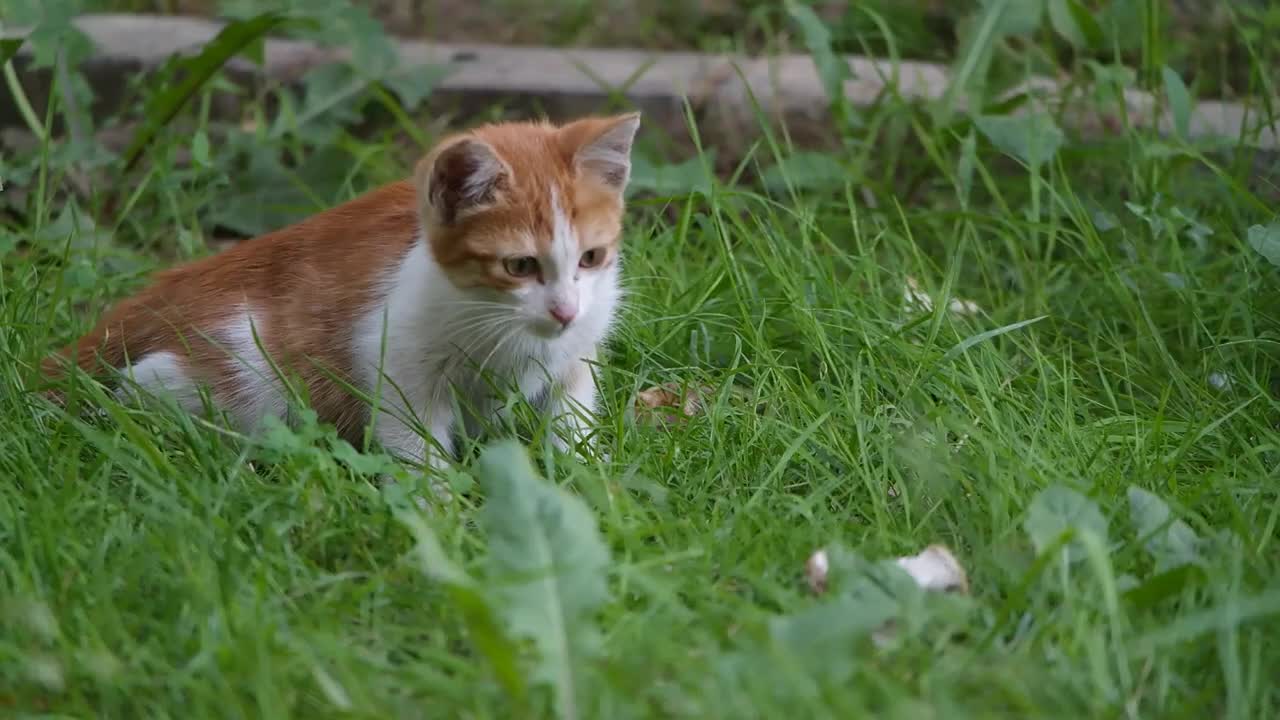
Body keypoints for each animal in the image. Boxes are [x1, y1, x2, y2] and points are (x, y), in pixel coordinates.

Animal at [38, 112, 640, 468]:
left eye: (591, 257)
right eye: (519, 266)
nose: (564, 311)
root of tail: (170, 285)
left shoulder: (577, 354)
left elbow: (571, 418)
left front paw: (587, 482)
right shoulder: (395, 357)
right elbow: (415, 442)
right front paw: (439, 514)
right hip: (247, 373)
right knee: (143, 387)